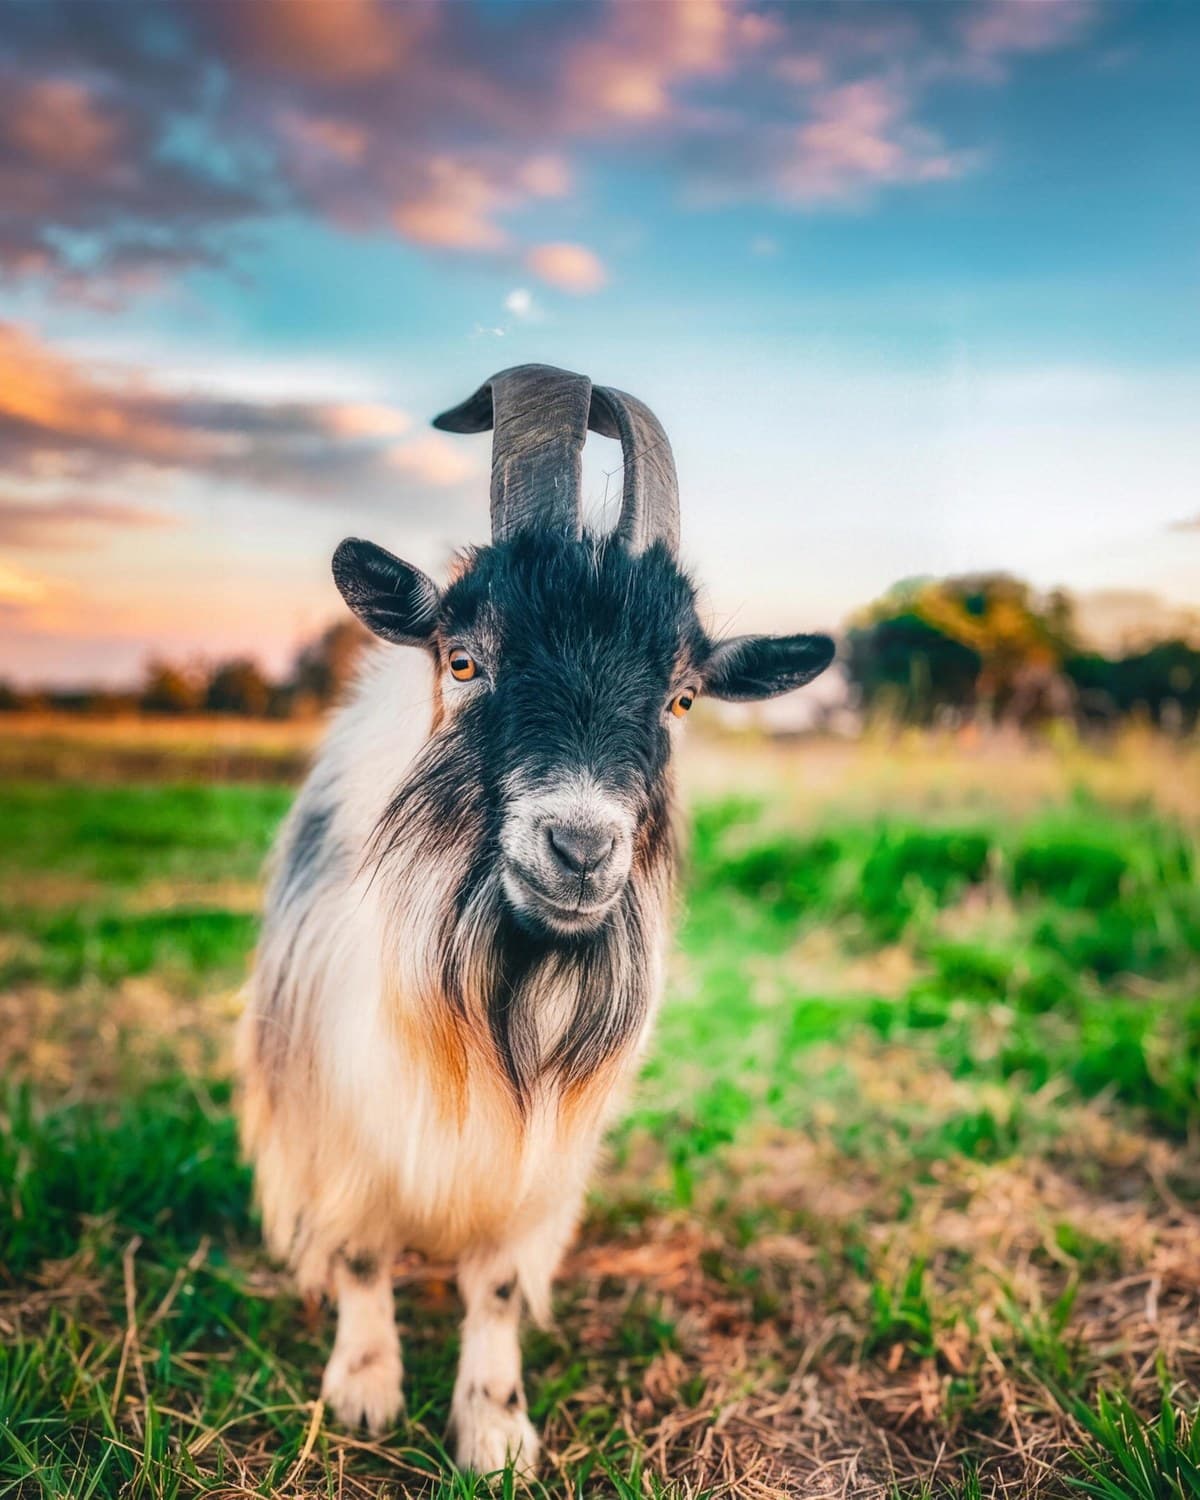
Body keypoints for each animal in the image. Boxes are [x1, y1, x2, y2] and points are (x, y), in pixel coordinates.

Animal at [238, 364, 834, 1475]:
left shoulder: (537, 1164)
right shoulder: (341, 1116)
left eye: (683, 699)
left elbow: (501, 1285)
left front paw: (495, 1427)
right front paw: (365, 1388)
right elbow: (360, 1254)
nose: (581, 848)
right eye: (464, 660)